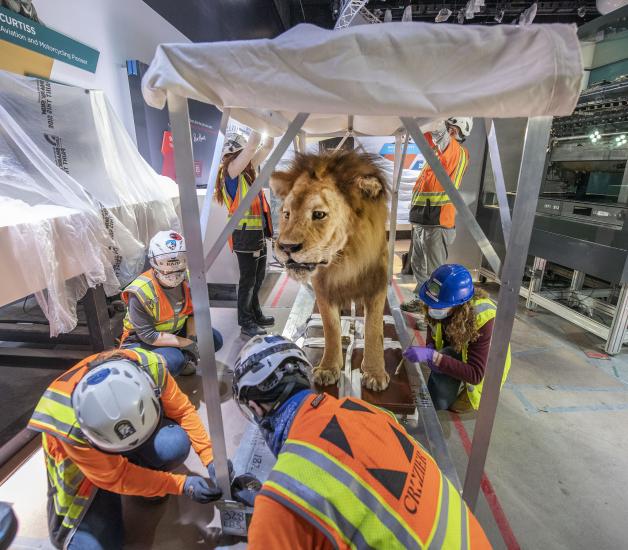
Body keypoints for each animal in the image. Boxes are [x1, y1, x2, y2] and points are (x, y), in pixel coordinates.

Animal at [272, 151, 390, 392]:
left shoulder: (376, 284)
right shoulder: (323, 288)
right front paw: (328, 368)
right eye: (287, 214)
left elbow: (374, 329)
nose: (286, 247)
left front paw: (375, 373)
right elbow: (331, 328)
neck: (345, 260)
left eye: (318, 214)